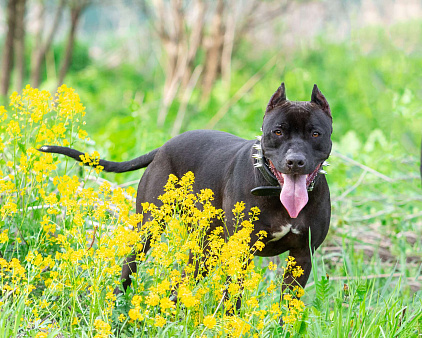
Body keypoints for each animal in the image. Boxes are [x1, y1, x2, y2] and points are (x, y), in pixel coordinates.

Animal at [38, 82, 332, 294]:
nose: (295, 161)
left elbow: (288, 307)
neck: (273, 189)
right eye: (277, 132)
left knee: (183, 280)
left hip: (204, 247)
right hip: (148, 228)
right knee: (129, 266)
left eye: (315, 133)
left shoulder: (302, 257)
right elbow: (233, 300)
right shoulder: (240, 254)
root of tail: (163, 147)